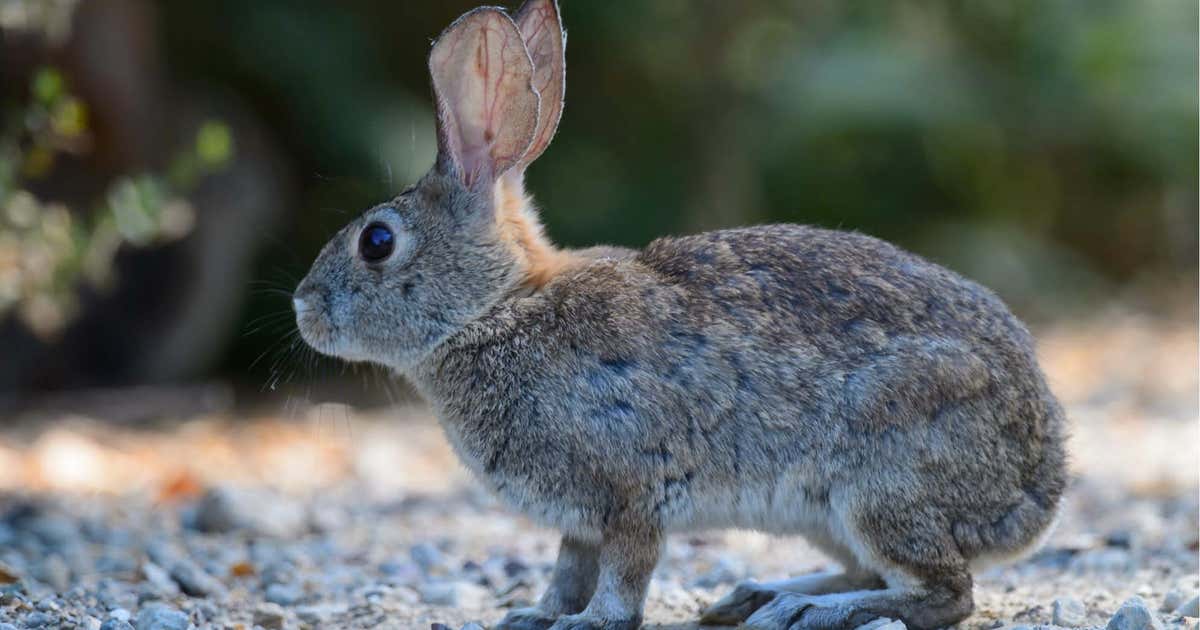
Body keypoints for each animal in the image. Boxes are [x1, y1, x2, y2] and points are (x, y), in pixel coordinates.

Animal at [291, 2, 1068, 629]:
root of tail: (1037, 488)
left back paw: (807, 610)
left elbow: (623, 572)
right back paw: (759, 595)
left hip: (880, 482)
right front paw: (536, 614)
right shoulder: (580, 519)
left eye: (377, 242)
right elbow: (568, 568)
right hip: (830, 513)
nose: (303, 308)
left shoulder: (629, 489)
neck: (498, 307)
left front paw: (591, 622)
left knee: (943, 593)